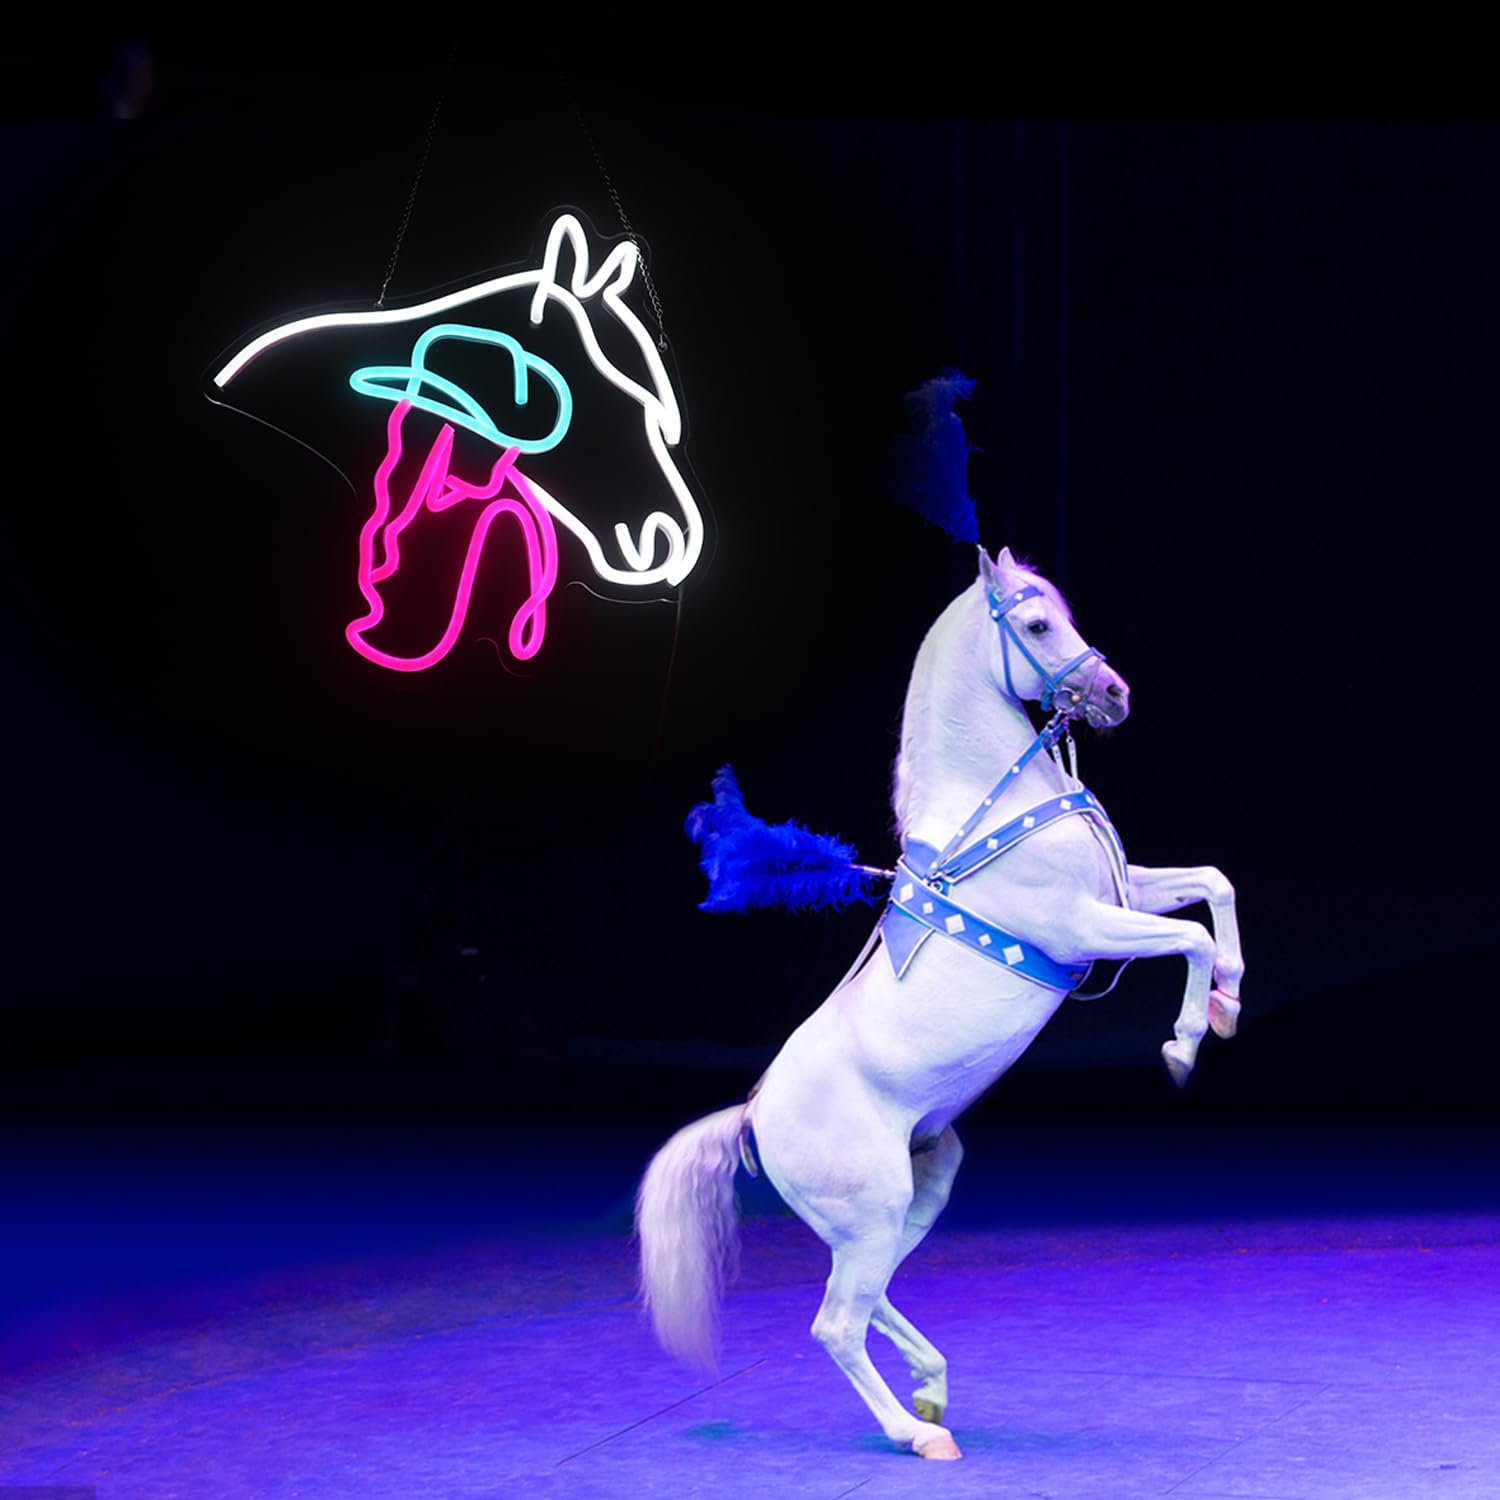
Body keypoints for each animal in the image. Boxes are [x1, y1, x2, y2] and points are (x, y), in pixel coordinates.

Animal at [635, 545, 1245, 1461]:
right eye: (1038, 625)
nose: (1114, 694)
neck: (991, 806)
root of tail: (751, 1119)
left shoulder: (1125, 891)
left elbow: (1214, 885)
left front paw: (1229, 1000)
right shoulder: (1084, 927)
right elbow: (1191, 939)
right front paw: (1182, 1043)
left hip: (912, 1195)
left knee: (870, 1295)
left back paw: (931, 1388)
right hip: (873, 1208)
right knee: (836, 1323)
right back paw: (915, 1434)